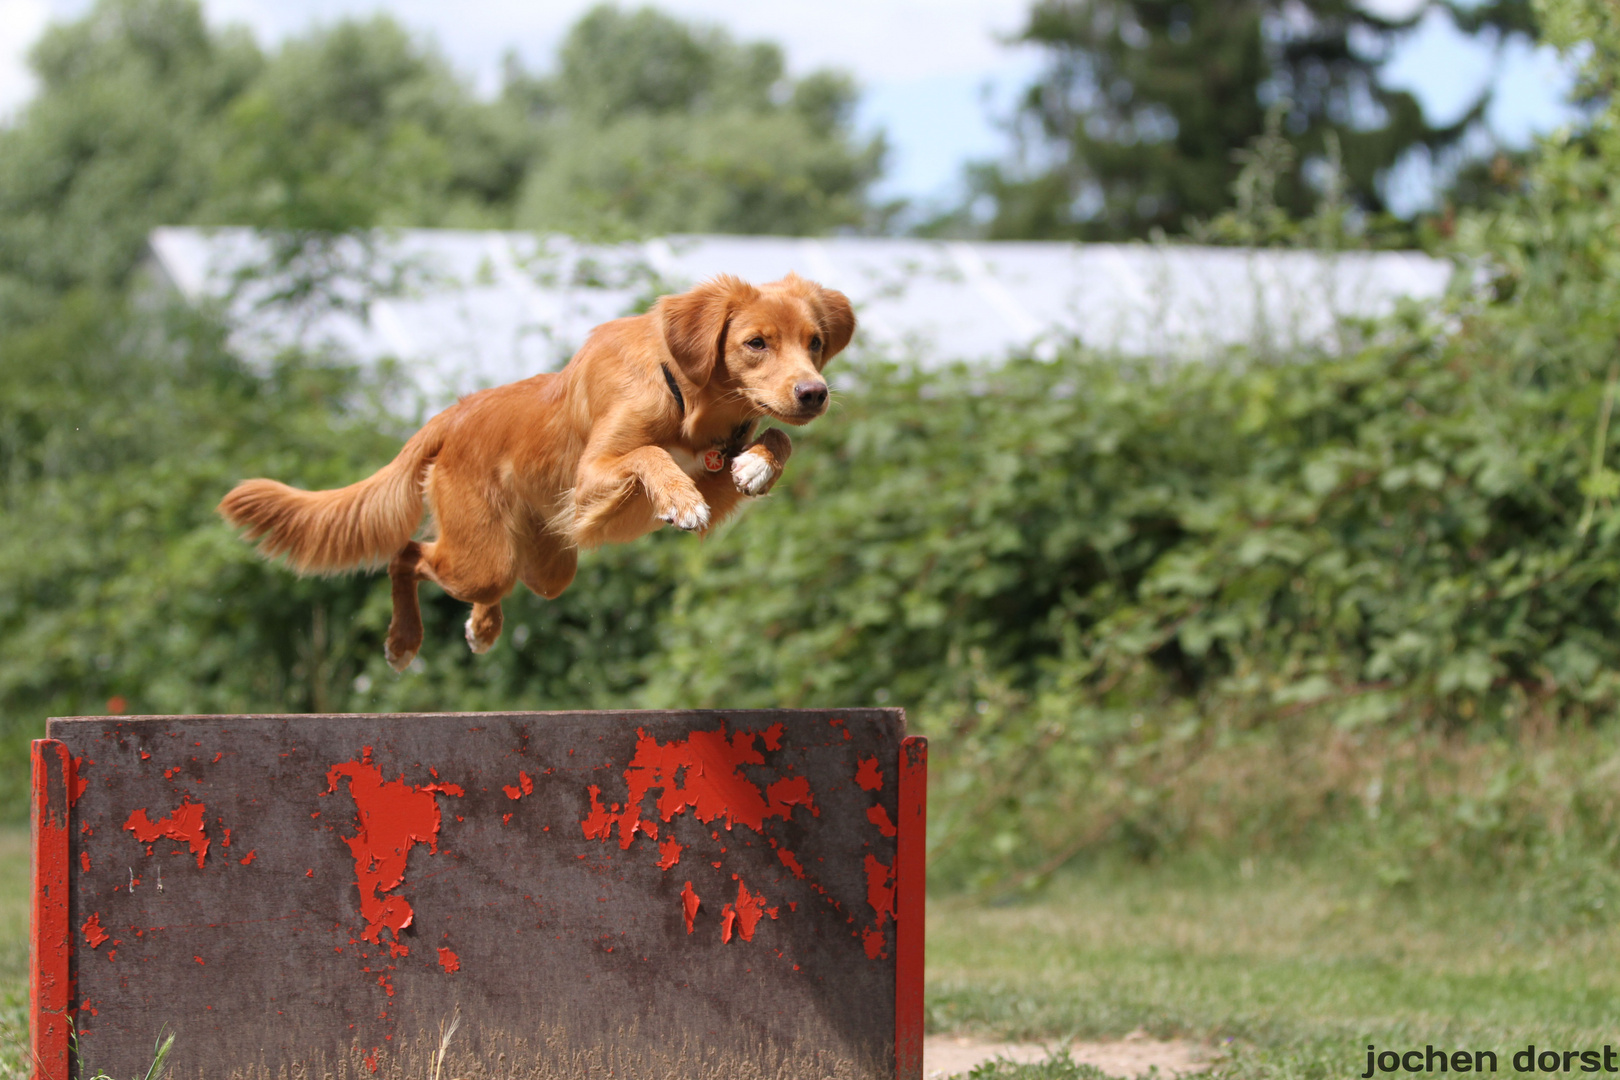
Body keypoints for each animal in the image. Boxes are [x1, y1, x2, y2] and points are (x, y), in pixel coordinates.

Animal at [220, 275, 855, 670]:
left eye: (815, 342)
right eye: (755, 343)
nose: (815, 393)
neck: (687, 395)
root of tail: (452, 415)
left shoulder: (713, 465)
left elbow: (775, 438)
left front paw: (760, 466)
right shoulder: (594, 475)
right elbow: (647, 455)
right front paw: (677, 498)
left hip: (544, 566)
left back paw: (482, 627)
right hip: (483, 560)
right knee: (407, 553)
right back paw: (404, 641)